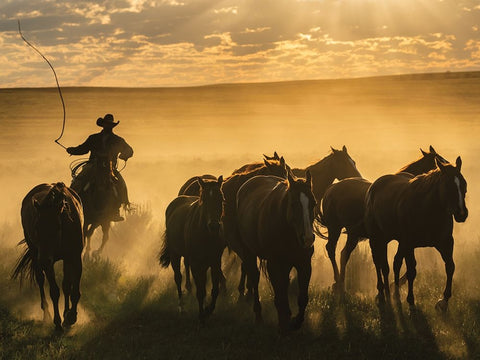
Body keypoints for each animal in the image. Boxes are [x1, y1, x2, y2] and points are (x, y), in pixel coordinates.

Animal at [11, 183, 84, 332]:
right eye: (37, 227)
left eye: (57, 227)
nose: (43, 260)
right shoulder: (47, 262)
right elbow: (54, 291)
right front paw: (57, 322)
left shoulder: (75, 257)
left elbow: (73, 290)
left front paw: (70, 317)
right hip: (35, 254)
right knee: (40, 279)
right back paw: (47, 315)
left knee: (66, 285)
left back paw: (65, 313)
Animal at [158, 177, 224, 324]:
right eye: (204, 199)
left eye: (221, 199)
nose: (214, 226)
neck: (205, 234)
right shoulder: (196, 264)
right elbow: (200, 290)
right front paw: (202, 315)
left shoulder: (215, 262)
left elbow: (215, 290)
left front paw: (208, 310)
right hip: (175, 255)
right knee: (178, 278)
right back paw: (182, 308)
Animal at [235, 172, 316, 334]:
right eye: (293, 204)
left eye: (314, 204)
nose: (308, 239)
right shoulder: (275, 264)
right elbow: (280, 296)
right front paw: (284, 326)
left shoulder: (304, 264)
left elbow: (302, 298)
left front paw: (295, 322)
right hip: (248, 252)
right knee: (254, 278)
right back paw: (259, 316)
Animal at [318, 145, 450, 292]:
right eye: (438, 163)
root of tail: (330, 189)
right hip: (335, 227)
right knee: (331, 248)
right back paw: (337, 281)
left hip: (353, 234)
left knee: (344, 254)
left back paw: (340, 283)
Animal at [366, 155, 466, 310]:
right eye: (449, 187)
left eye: (464, 186)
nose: (462, 214)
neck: (428, 210)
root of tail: (374, 187)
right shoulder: (409, 243)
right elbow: (411, 271)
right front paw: (411, 300)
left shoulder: (445, 243)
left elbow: (450, 266)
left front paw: (443, 301)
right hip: (377, 237)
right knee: (379, 263)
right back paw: (383, 293)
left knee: (394, 263)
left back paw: (393, 293)